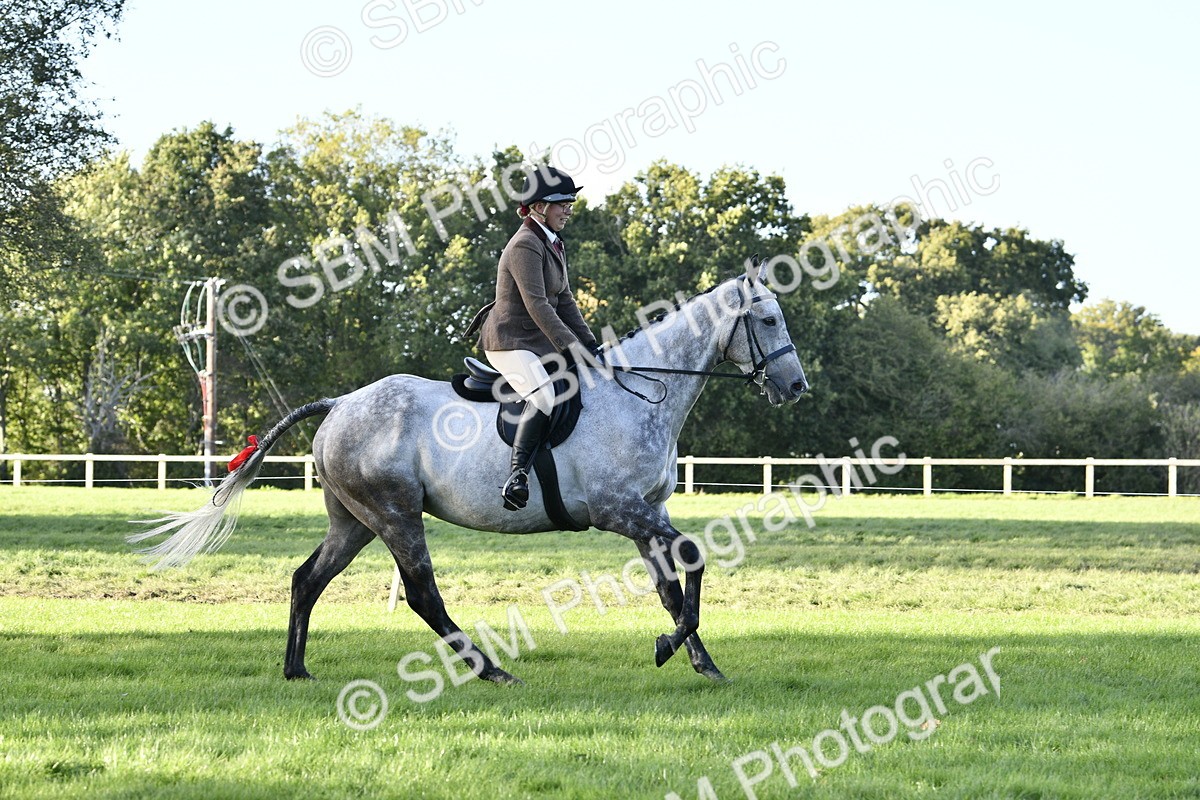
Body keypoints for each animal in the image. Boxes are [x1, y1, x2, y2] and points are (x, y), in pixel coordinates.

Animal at [129, 262, 809, 685]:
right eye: (767, 320)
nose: (796, 388)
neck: (640, 392)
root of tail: (341, 404)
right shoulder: (620, 511)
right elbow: (691, 558)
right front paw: (673, 648)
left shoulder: (649, 513)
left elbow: (673, 585)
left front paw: (700, 662)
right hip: (395, 514)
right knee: (423, 595)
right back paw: (492, 670)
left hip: (354, 520)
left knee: (307, 580)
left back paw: (296, 669)